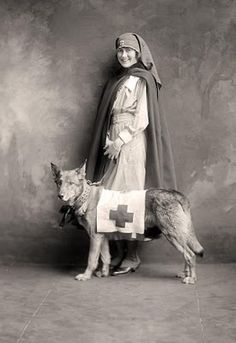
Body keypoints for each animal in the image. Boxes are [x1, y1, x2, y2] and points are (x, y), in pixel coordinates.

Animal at [50, 162, 204, 284]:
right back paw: (185, 273)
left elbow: (92, 259)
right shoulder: (103, 237)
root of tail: (175, 194)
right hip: (179, 235)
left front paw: (86, 275)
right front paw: (104, 273)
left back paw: (192, 278)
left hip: (172, 234)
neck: (86, 197)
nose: (60, 196)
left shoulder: (95, 237)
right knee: (186, 254)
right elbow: (106, 257)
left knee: (190, 254)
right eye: (59, 182)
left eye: (71, 184)